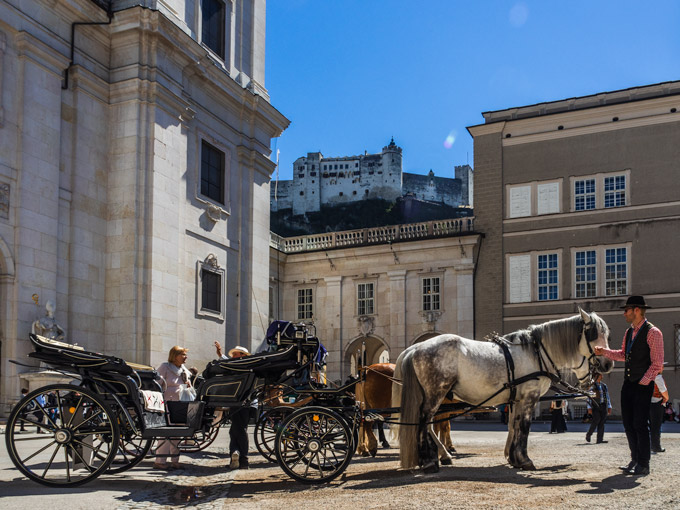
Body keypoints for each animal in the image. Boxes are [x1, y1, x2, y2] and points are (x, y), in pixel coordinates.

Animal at [390, 310, 612, 474]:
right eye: (595, 335)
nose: (608, 364)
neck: (536, 352)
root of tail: (416, 346)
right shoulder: (529, 398)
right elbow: (524, 427)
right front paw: (524, 459)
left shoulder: (516, 400)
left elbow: (514, 426)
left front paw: (513, 457)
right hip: (435, 394)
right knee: (424, 421)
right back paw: (429, 461)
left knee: (426, 424)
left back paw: (438, 456)